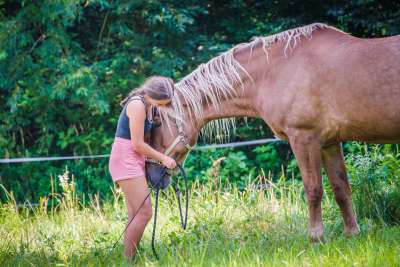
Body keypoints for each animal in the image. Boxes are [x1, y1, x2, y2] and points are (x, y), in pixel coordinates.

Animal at [148, 22, 400, 241]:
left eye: (156, 122)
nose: (150, 175)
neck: (277, 70)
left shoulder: (304, 138)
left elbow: (313, 189)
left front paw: (316, 237)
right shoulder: (330, 143)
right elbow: (341, 188)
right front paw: (352, 234)